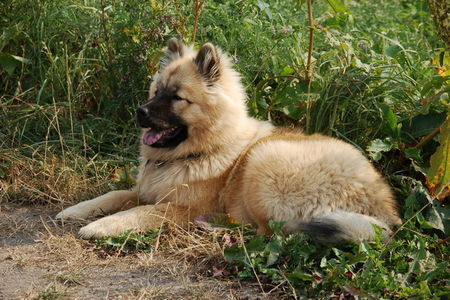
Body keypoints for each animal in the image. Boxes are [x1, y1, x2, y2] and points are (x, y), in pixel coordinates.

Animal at [56, 38, 400, 244]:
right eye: (156, 92)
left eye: (177, 98)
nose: (140, 112)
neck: (200, 151)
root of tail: (386, 214)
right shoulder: (145, 190)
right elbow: (114, 195)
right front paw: (76, 211)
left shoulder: (178, 206)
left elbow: (139, 213)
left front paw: (99, 227)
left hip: (265, 160)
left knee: (268, 232)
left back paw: (215, 225)